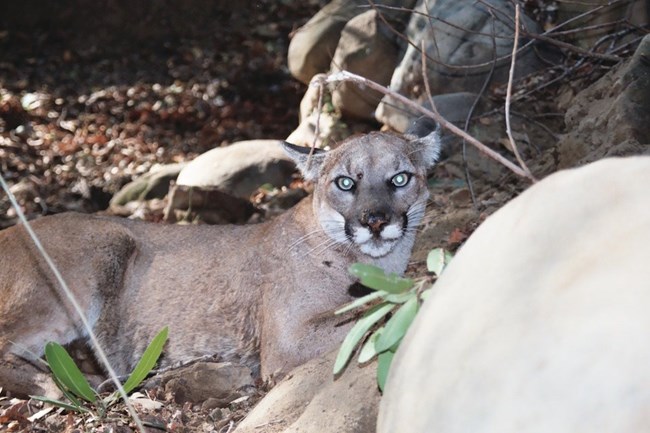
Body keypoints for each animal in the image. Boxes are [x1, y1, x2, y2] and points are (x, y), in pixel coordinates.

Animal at [0, 116, 440, 396]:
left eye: (400, 178)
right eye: (346, 183)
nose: (375, 220)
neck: (377, 263)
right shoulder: (288, 340)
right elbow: (371, 314)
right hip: (101, 248)